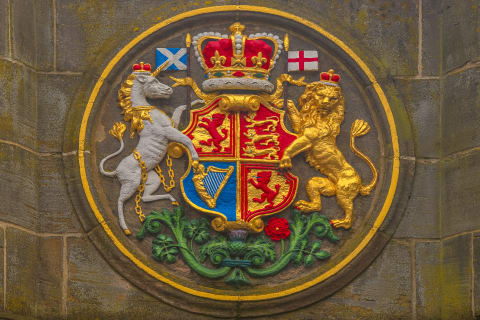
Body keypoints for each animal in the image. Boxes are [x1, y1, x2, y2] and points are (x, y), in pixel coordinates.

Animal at [280, 74, 376, 229]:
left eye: (333, 99)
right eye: (321, 95)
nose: (325, 104)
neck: (319, 115)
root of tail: (360, 184)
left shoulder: (309, 136)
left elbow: (294, 145)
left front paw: (285, 158)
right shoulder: (301, 127)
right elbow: (297, 117)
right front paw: (288, 103)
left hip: (343, 190)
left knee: (349, 209)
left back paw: (341, 222)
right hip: (324, 186)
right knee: (318, 202)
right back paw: (306, 206)